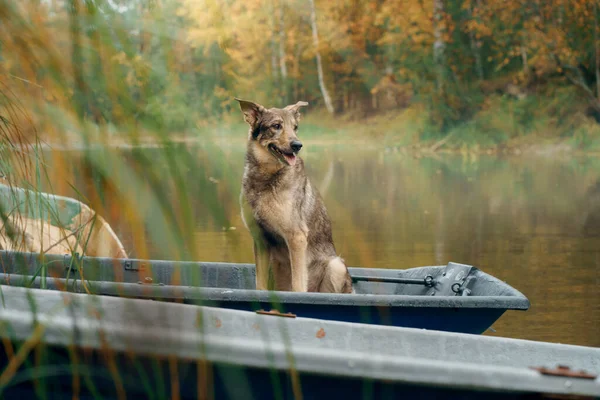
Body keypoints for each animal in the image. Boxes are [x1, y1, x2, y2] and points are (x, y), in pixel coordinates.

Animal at [237, 97, 354, 292]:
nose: (297, 145)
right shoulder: (260, 239)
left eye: (295, 127)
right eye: (276, 126)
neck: (267, 179)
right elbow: (260, 285)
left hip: (335, 265)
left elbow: (298, 285)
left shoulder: (296, 237)